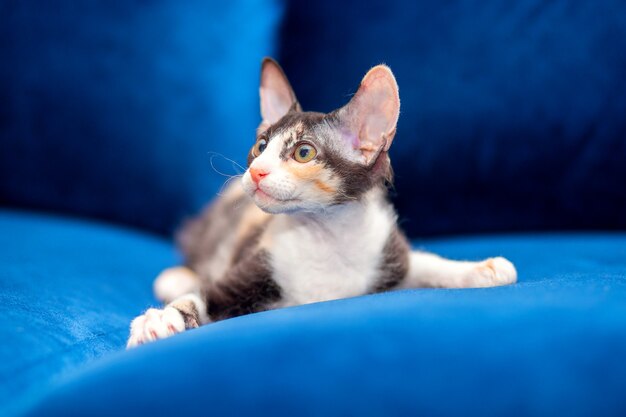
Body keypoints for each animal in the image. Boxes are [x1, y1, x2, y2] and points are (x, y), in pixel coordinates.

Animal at [124, 57, 516, 346]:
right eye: (261, 146)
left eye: (303, 153)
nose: (256, 172)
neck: (326, 236)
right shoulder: (252, 265)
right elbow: (202, 297)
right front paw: (162, 317)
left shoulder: (387, 252)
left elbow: (424, 262)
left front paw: (480, 269)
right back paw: (175, 278)